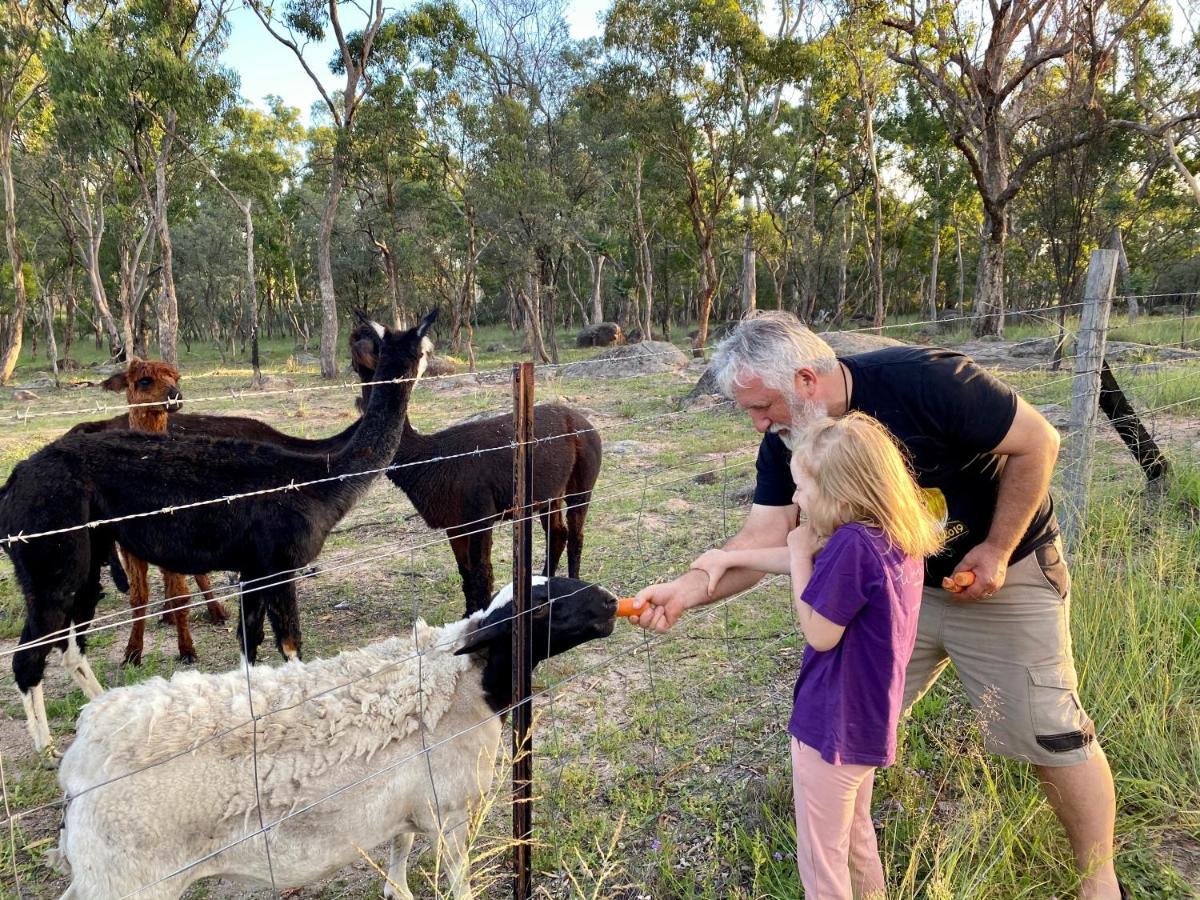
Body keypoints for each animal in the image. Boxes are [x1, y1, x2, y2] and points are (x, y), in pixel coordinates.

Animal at [54, 578, 619, 900]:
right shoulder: (450, 813)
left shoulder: (406, 807)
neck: (467, 682)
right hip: (126, 880)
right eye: (540, 607)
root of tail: (83, 757)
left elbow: (398, 852)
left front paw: (396, 891)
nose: (613, 603)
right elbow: (458, 882)